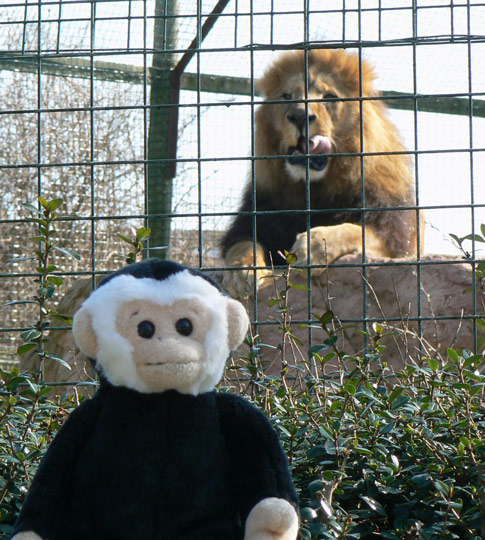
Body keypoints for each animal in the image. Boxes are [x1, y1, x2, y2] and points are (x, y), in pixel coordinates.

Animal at [219, 48, 420, 298]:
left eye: (330, 97)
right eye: (287, 96)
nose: (299, 116)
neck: (314, 187)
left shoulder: (398, 240)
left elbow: (356, 231)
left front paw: (312, 246)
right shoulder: (256, 214)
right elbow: (241, 244)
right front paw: (242, 272)